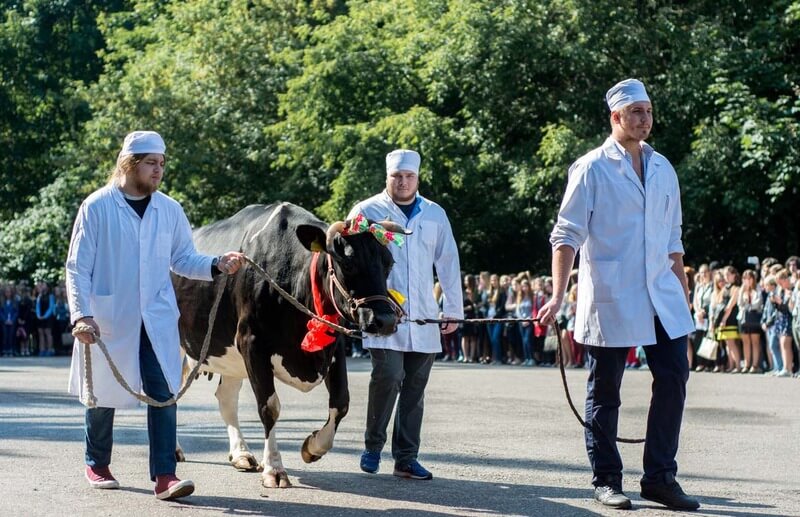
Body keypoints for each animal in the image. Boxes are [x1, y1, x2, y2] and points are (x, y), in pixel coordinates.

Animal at [171, 203, 404, 488]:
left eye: (389, 263)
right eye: (347, 262)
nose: (385, 320)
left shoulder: (334, 346)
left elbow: (341, 402)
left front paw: (313, 447)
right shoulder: (252, 342)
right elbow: (269, 407)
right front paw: (274, 468)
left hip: (229, 354)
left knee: (226, 397)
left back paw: (241, 454)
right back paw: (175, 450)